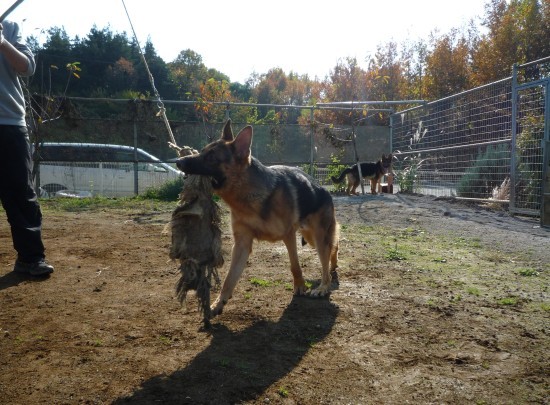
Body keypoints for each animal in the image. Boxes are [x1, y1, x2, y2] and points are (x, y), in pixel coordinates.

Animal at [177, 120, 340, 318]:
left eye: (211, 157)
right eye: (202, 151)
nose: (178, 161)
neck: (248, 196)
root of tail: (322, 188)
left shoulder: (288, 236)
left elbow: (295, 264)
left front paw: (300, 287)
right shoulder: (242, 244)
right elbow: (229, 279)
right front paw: (217, 303)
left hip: (317, 237)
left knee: (327, 254)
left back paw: (323, 286)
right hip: (310, 237)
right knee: (333, 248)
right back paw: (333, 267)